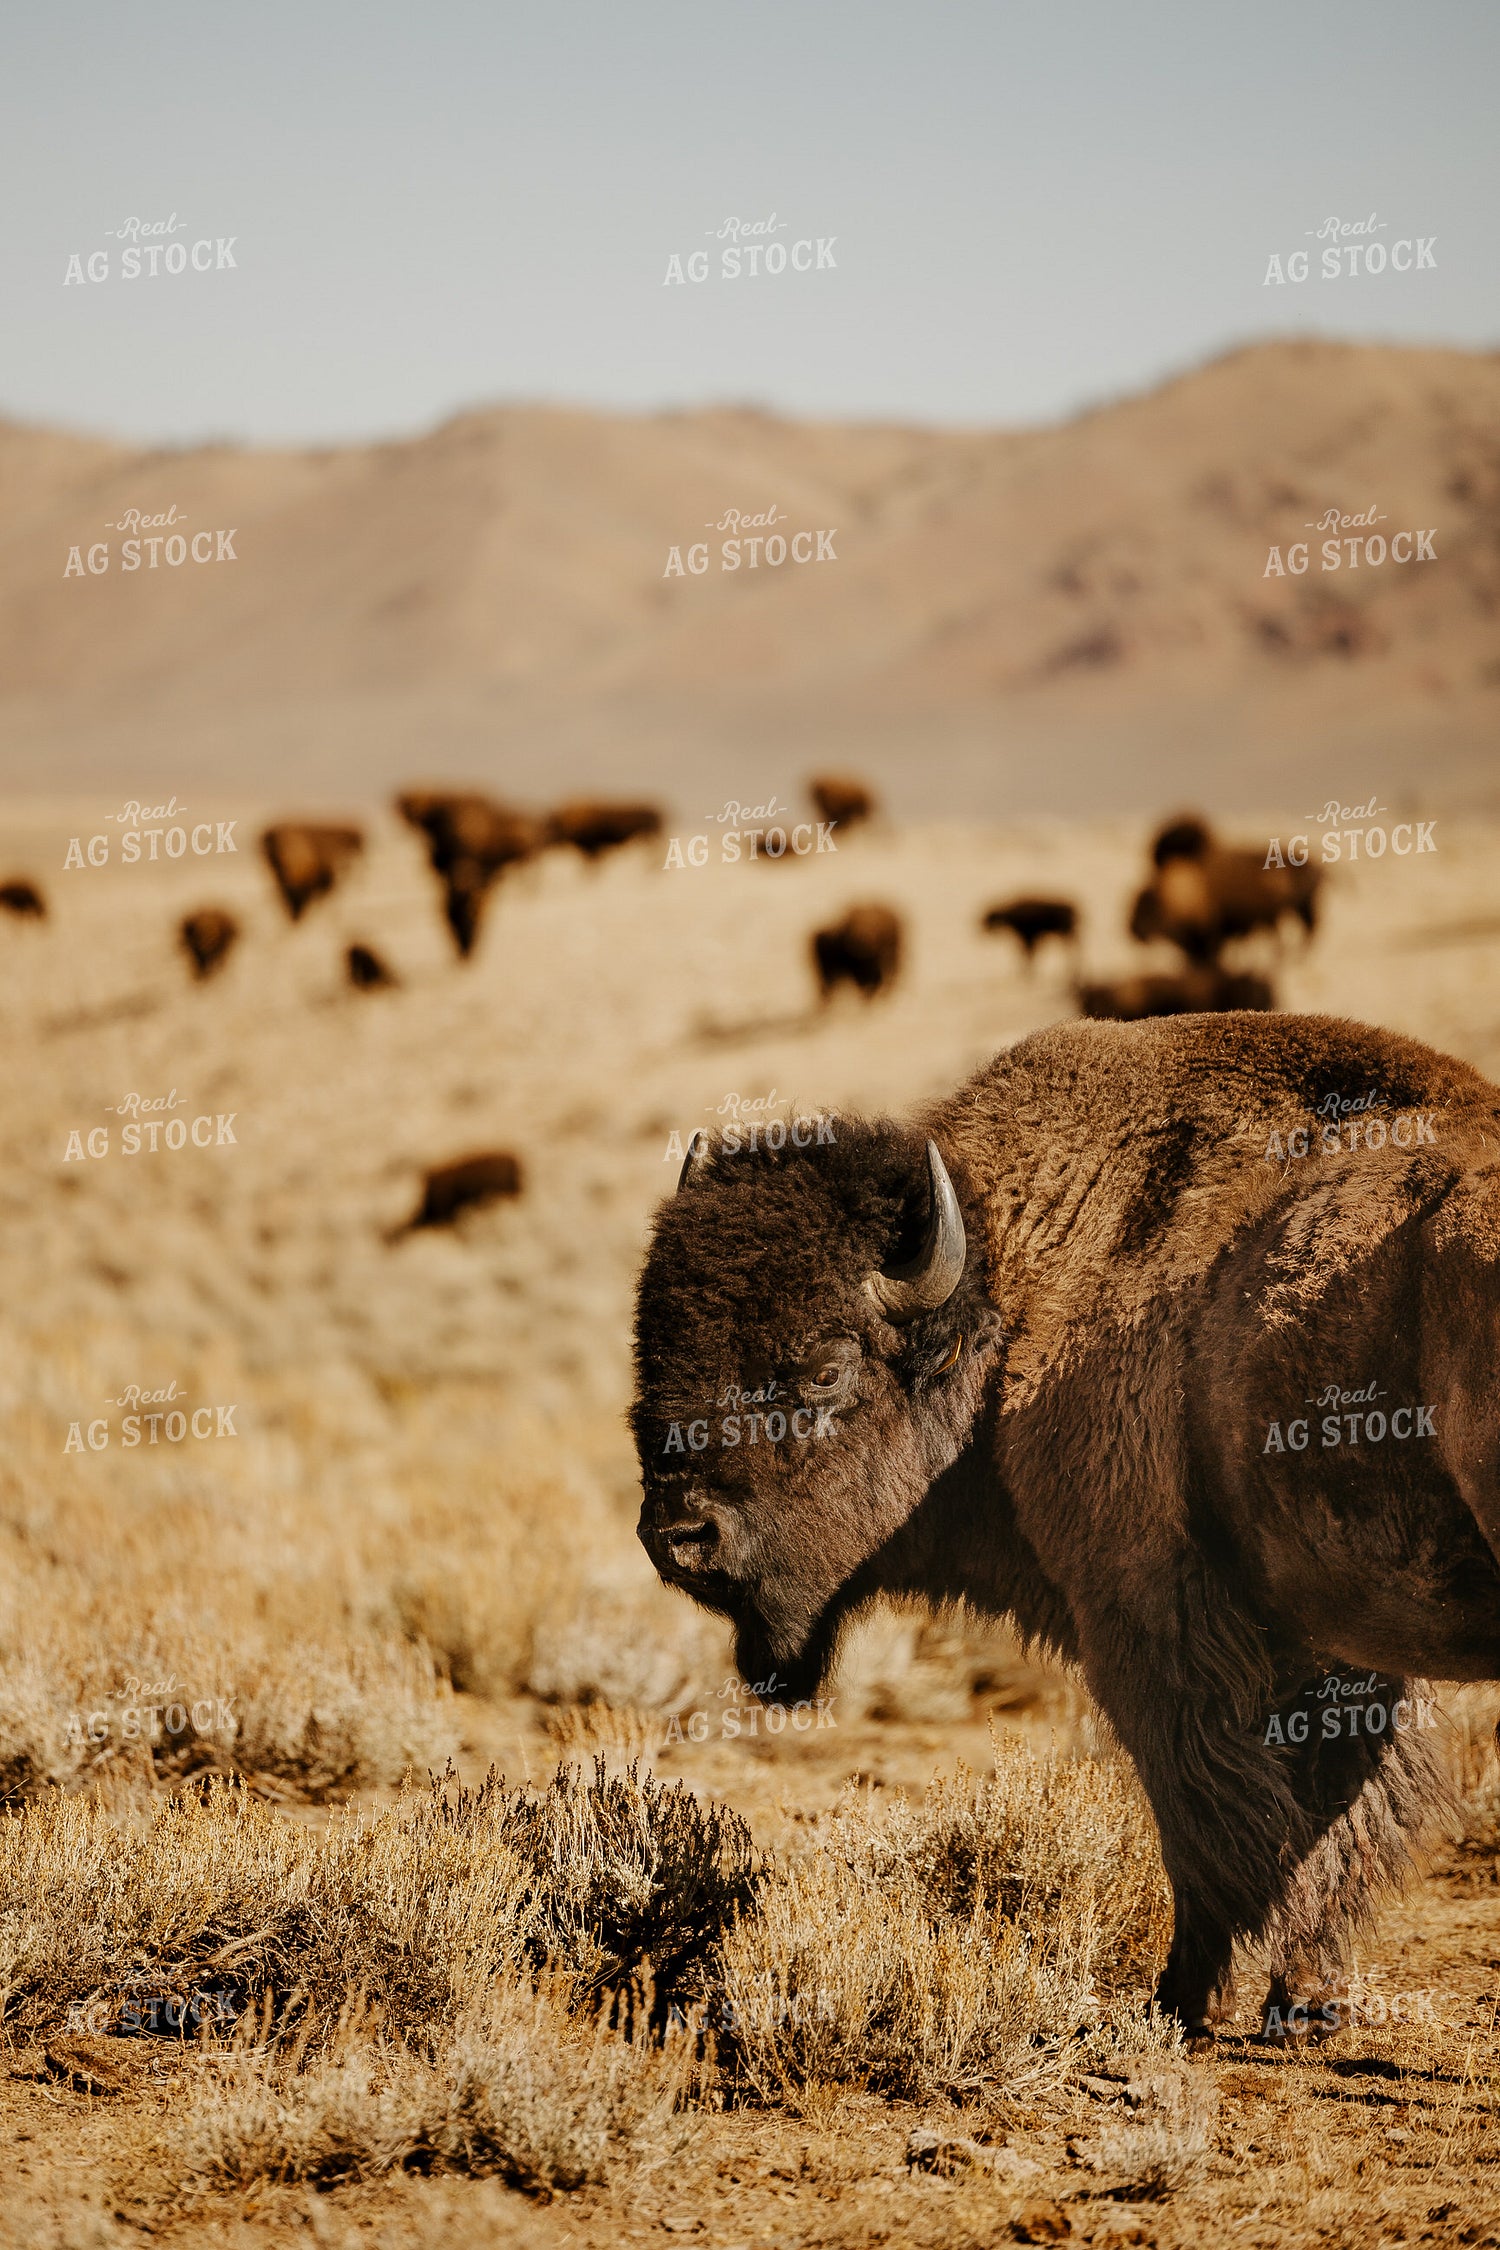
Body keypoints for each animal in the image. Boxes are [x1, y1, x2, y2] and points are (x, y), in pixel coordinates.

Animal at [634, 1012, 1500, 2041]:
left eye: (823, 1369)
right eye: (650, 1353)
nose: (680, 1535)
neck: (1011, 1286)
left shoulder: (1153, 1628)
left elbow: (1212, 1820)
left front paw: (1179, 2002)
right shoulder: (1328, 1649)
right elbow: (1326, 1823)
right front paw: (1303, 2001)